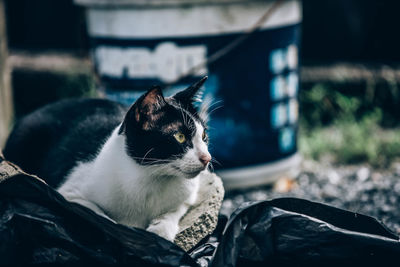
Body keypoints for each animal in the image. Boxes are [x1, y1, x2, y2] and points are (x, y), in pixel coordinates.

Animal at [3, 76, 212, 242]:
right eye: (180, 137)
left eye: (203, 136)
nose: (207, 158)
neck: (151, 177)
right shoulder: (69, 192)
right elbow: (100, 217)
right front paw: (124, 234)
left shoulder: (188, 195)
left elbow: (175, 210)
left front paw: (159, 232)